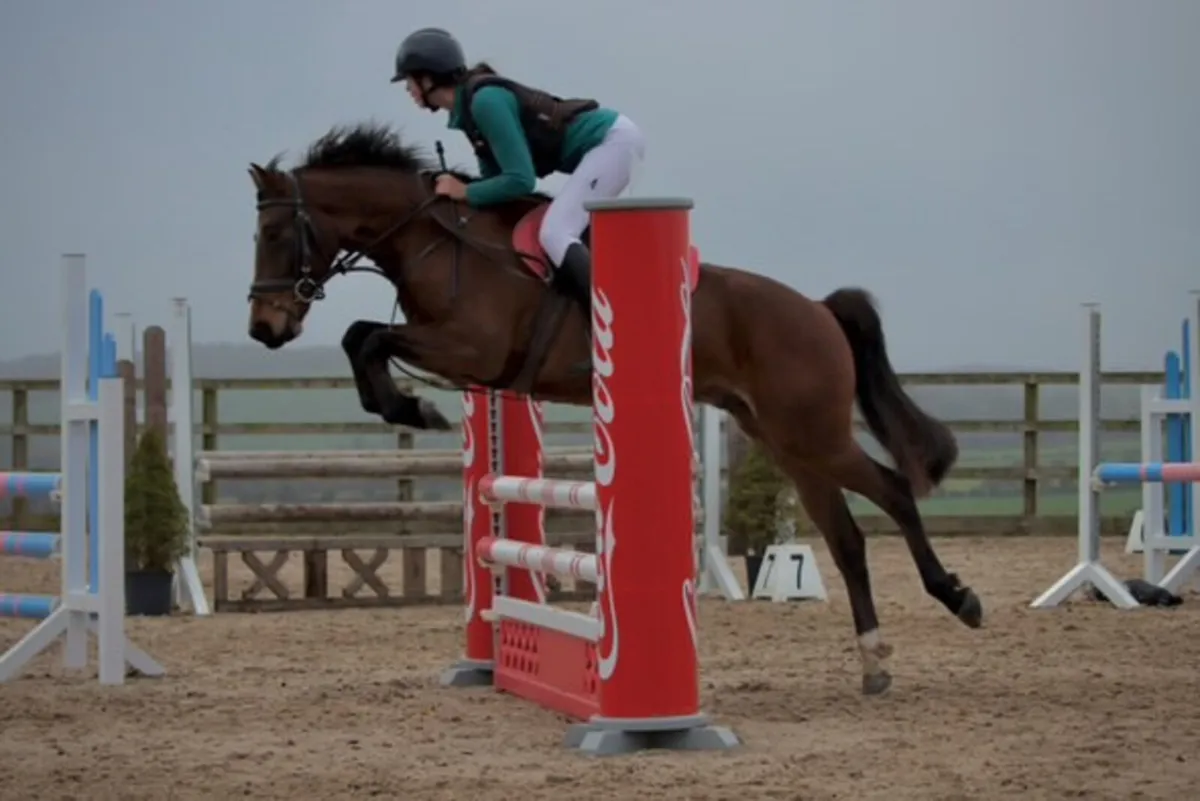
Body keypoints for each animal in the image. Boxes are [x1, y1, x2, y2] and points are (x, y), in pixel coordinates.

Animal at [245, 120, 982, 696]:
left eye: (277, 231)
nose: (264, 328)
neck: (438, 239)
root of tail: (819, 309)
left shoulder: (470, 348)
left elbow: (369, 337)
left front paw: (411, 407)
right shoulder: (458, 353)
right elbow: (359, 335)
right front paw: (402, 405)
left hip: (812, 434)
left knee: (893, 489)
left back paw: (959, 598)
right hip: (784, 439)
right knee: (847, 536)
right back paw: (874, 660)